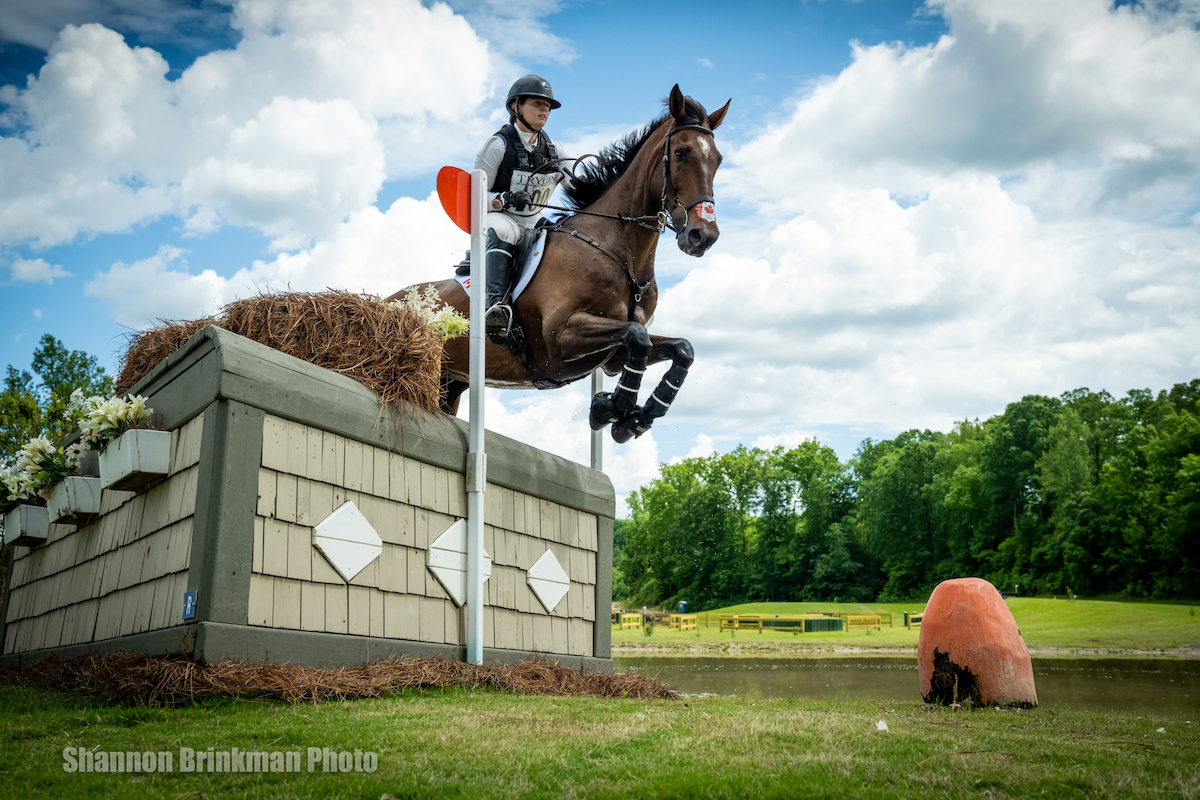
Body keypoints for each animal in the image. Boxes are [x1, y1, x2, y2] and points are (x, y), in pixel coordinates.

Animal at [391, 87, 729, 443]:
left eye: (718, 160)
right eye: (680, 153)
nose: (702, 236)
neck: (618, 253)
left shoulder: (614, 357)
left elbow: (681, 349)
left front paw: (636, 415)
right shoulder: (561, 336)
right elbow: (637, 336)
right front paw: (613, 408)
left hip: (449, 383)